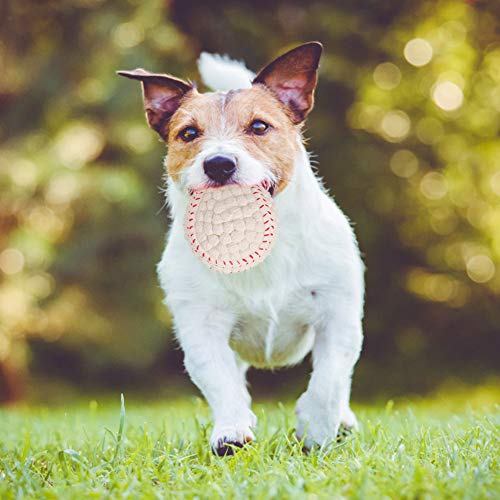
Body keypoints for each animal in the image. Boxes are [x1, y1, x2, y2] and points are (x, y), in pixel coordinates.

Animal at [119, 43, 366, 456]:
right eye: (188, 133)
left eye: (260, 127)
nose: (219, 163)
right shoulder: (201, 325)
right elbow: (220, 380)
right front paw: (232, 432)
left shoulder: (338, 315)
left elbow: (330, 379)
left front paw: (316, 429)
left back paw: (343, 422)